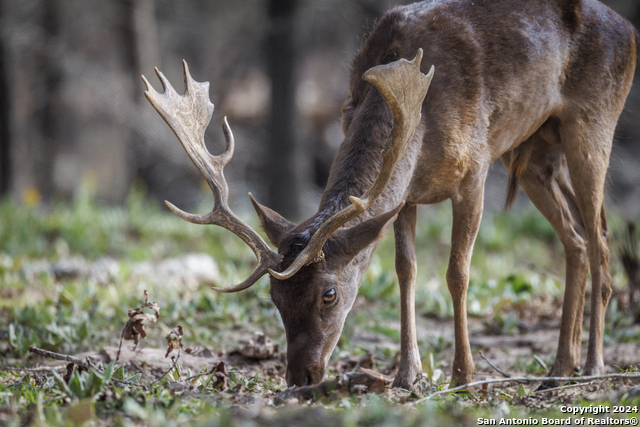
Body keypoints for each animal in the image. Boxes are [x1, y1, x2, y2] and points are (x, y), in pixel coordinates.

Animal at [142, 0, 636, 390]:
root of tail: (629, 29)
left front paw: (463, 375)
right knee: (575, 239)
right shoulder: (407, 196)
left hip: (593, 122)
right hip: (534, 153)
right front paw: (406, 374)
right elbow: (405, 271)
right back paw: (560, 366)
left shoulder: (475, 170)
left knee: (601, 238)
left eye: (328, 295)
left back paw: (593, 365)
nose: (300, 377)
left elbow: (457, 273)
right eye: (275, 298)